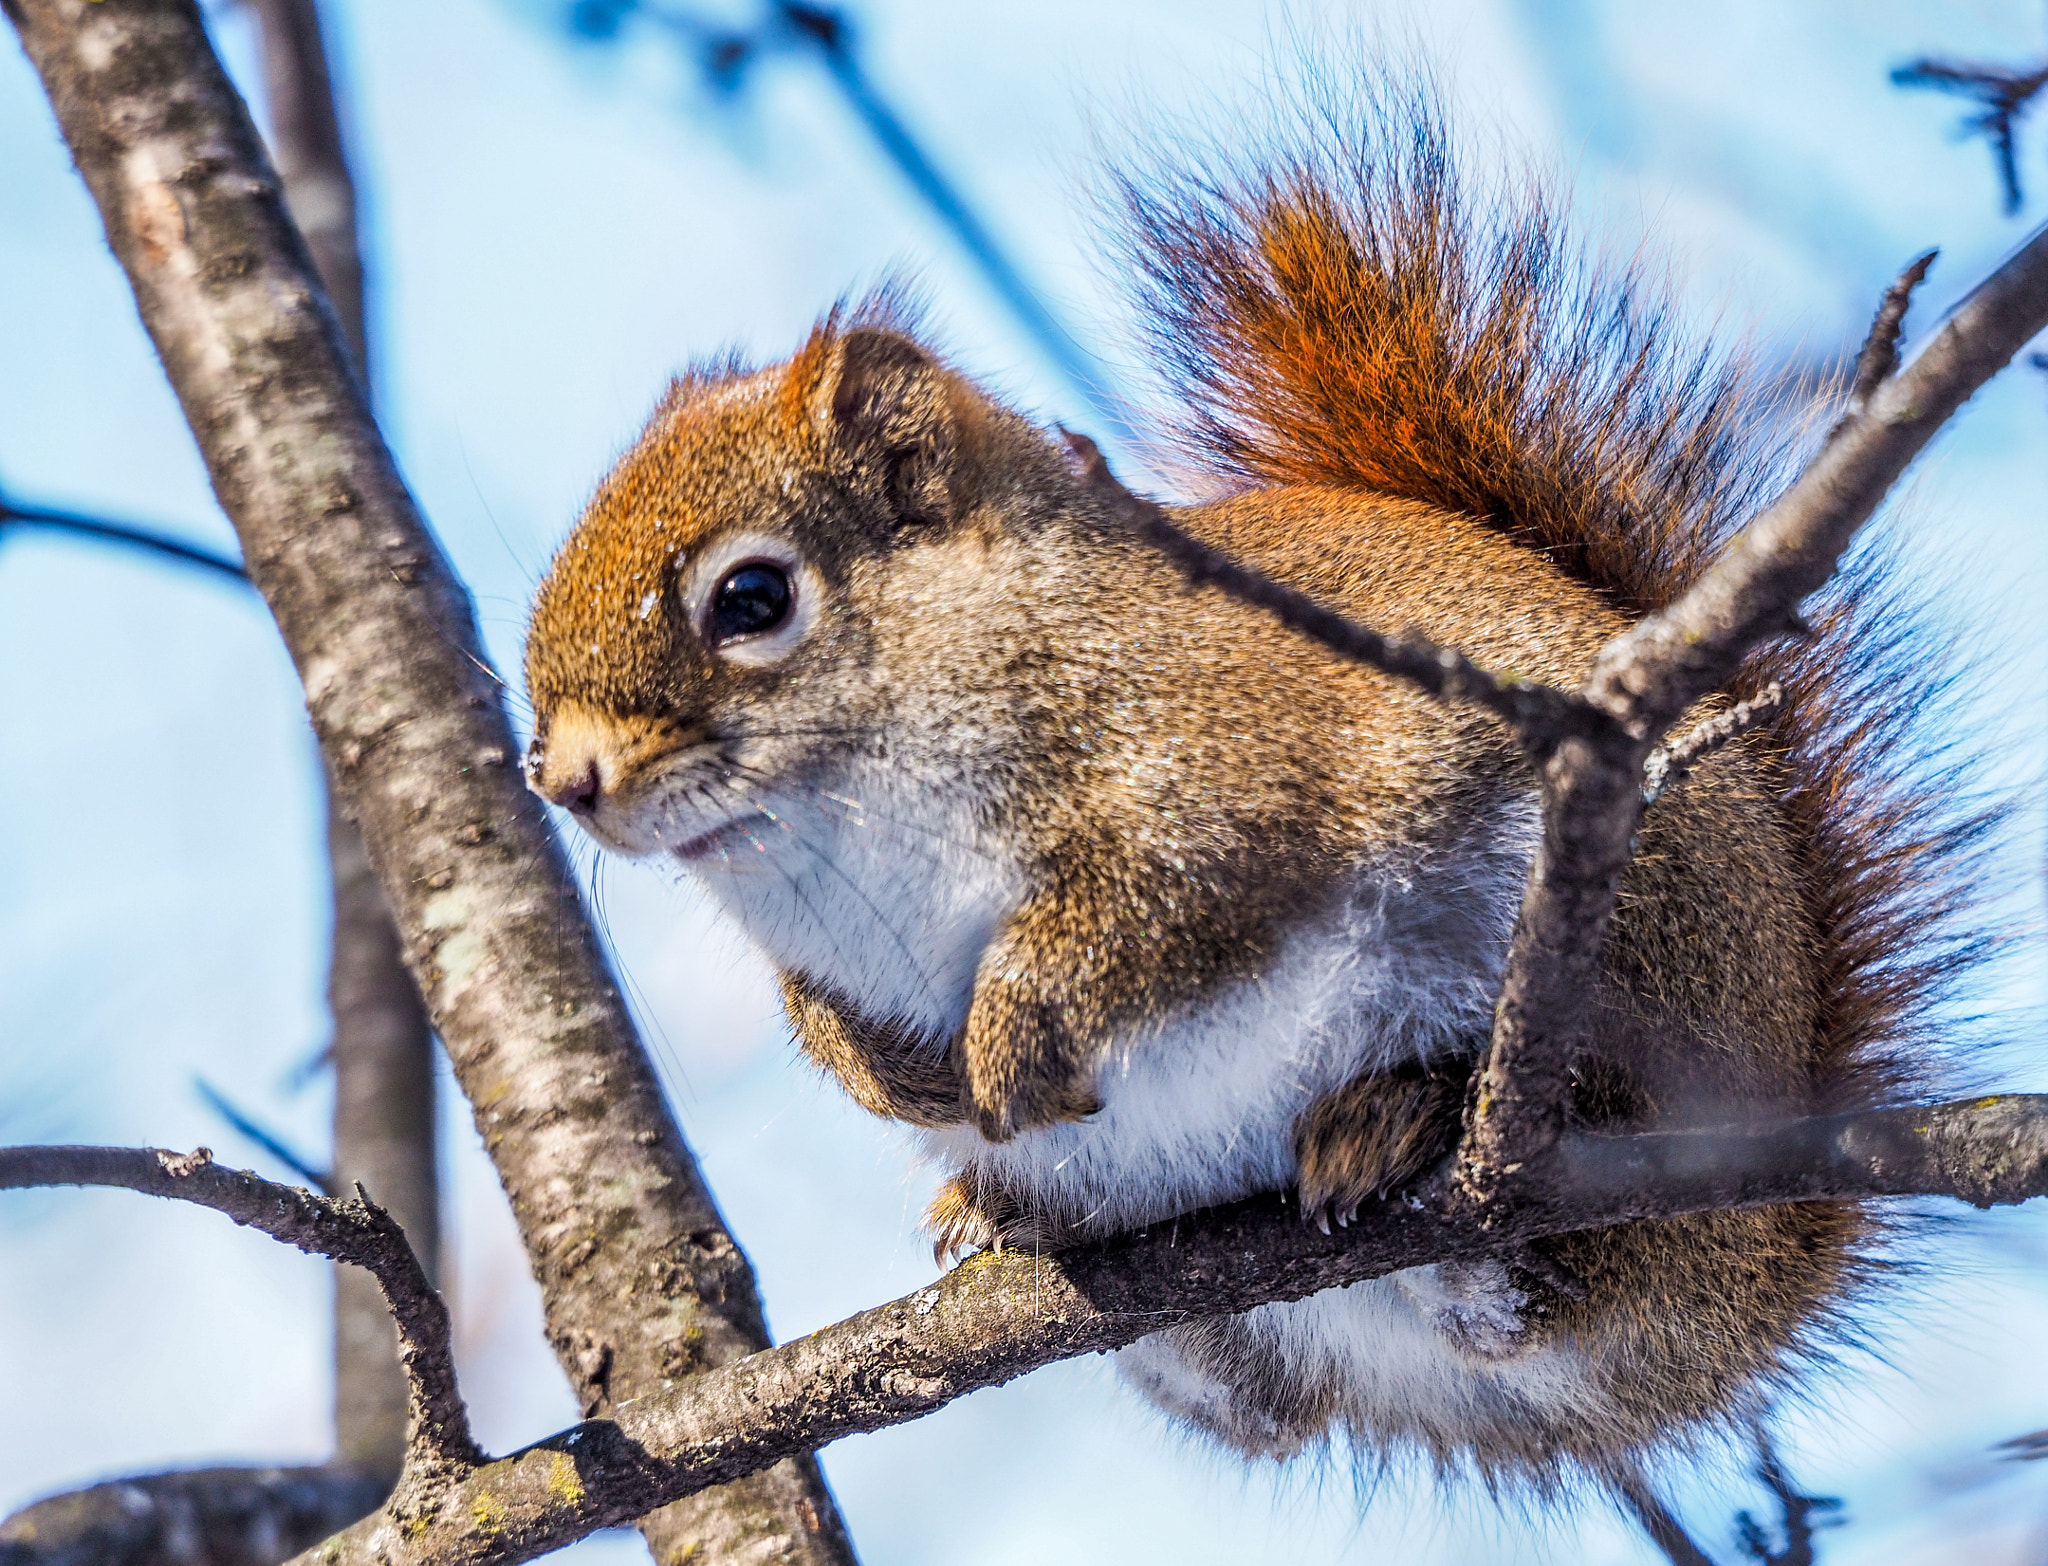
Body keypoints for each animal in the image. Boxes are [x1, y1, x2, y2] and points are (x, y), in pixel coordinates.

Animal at [521, 79, 1982, 1494]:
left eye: (751, 599)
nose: (567, 780)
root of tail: (1771, 1262)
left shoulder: (1242, 770)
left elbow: (1154, 915)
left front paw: (1012, 1035)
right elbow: (821, 1014)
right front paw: (896, 1075)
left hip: (1631, 958)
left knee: (1560, 1261)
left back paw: (1410, 1125)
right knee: (1287, 1392)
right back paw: (1009, 1215)